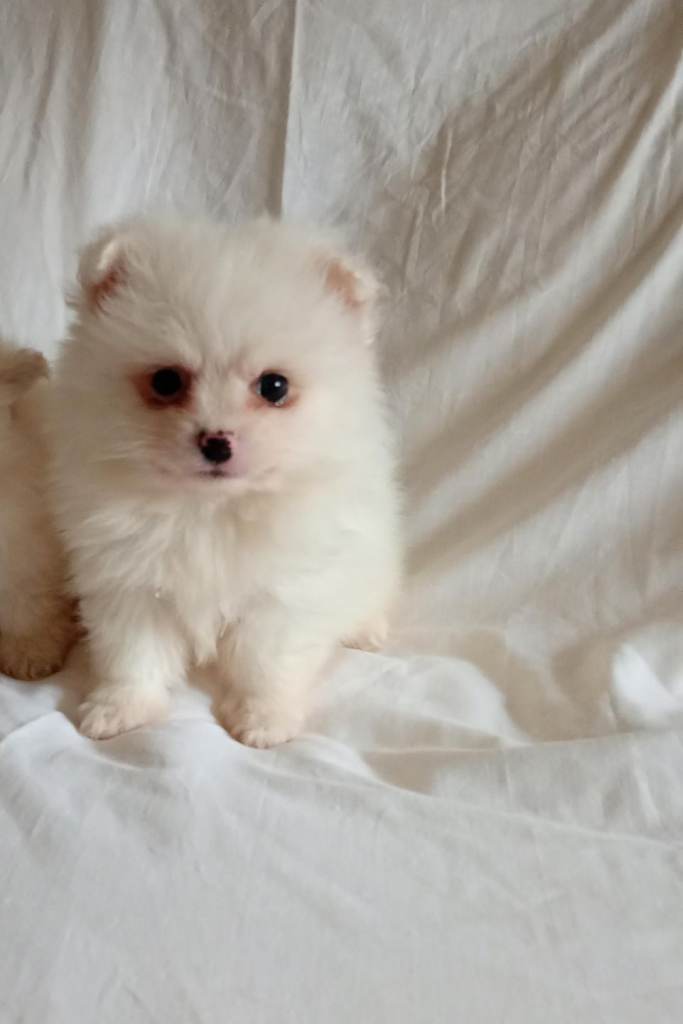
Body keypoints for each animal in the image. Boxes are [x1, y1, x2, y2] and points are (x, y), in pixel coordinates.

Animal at [51, 217, 401, 747]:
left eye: (274, 386)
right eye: (167, 381)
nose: (216, 442)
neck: (209, 508)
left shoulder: (281, 595)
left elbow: (266, 662)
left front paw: (263, 719)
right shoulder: (130, 583)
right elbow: (132, 655)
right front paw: (120, 709)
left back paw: (367, 628)